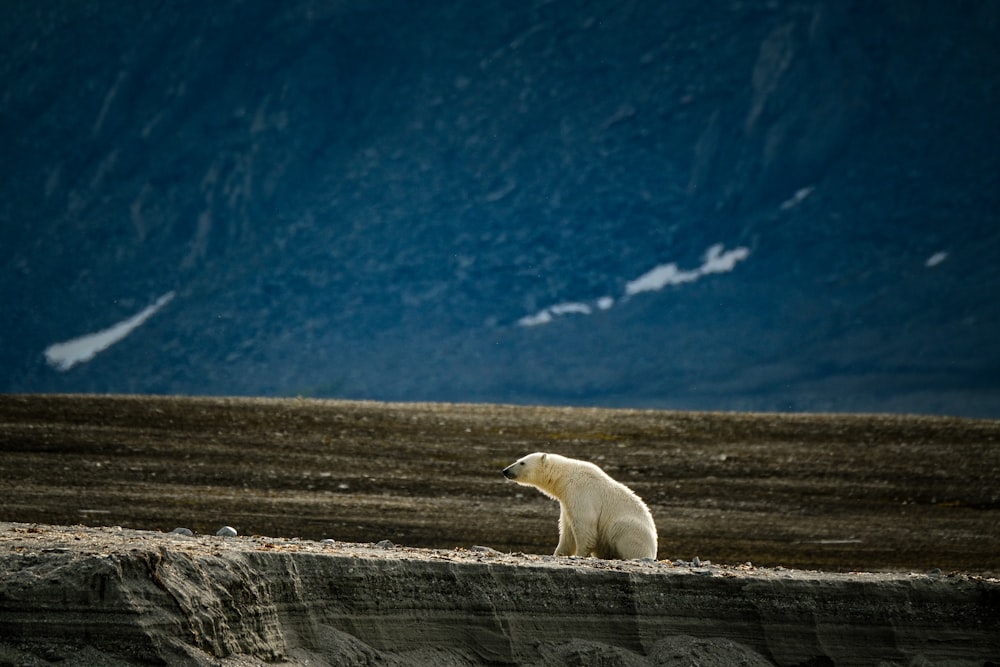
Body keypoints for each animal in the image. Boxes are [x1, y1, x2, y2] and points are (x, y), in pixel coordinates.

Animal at [500, 454, 656, 560]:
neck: (565, 476)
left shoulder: (581, 492)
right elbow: (566, 530)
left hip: (631, 529)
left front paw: (579, 554)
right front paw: (558, 553)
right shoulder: (566, 501)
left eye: (522, 462)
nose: (505, 471)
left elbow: (584, 526)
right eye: (518, 460)